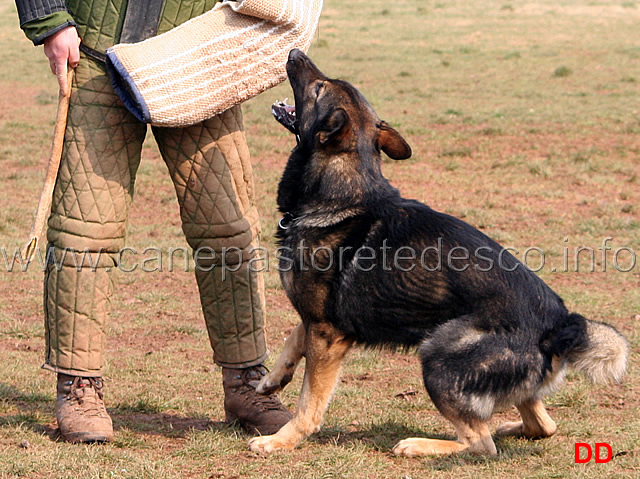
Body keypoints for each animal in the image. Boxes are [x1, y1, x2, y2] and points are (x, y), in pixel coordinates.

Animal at [248, 48, 628, 458]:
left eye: (319, 87)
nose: (295, 52)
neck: (342, 190)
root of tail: (560, 323)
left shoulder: (328, 334)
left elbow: (308, 402)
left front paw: (281, 439)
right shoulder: (320, 323)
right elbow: (293, 338)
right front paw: (272, 380)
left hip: (436, 355)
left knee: (481, 443)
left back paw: (419, 445)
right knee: (541, 424)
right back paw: (510, 426)